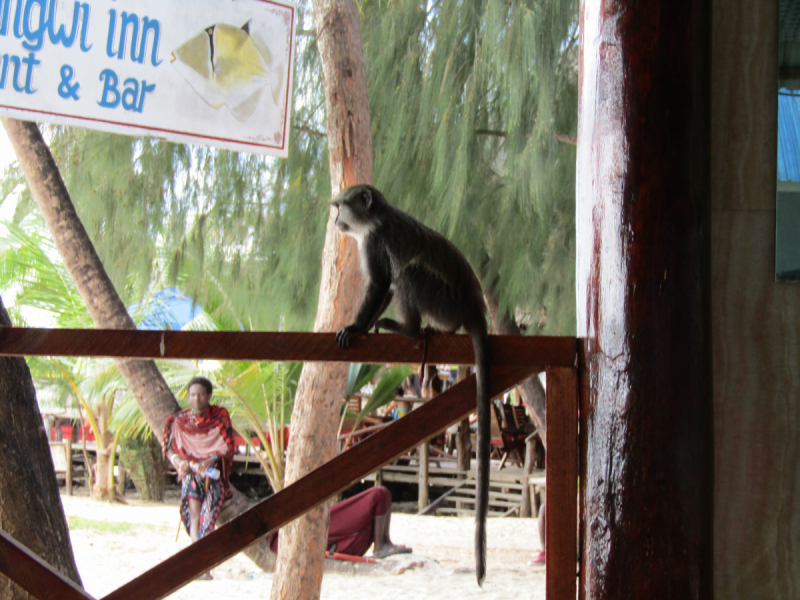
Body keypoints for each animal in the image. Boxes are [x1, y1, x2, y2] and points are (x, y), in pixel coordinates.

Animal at [332, 184, 494, 584]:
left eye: (341, 206)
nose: (336, 220)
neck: (378, 217)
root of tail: (474, 308)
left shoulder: (374, 241)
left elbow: (381, 284)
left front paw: (355, 327)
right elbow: (384, 289)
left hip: (442, 302)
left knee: (408, 273)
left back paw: (408, 330)